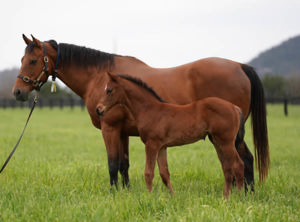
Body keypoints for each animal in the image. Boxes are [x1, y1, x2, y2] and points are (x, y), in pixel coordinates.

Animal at [97, 72, 245, 198]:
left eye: (109, 90)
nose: (98, 109)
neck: (149, 110)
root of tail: (234, 107)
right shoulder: (162, 147)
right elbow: (164, 173)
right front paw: (172, 197)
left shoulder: (152, 144)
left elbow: (148, 172)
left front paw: (149, 197)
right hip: (217, 142)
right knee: (227, 167)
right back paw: (225, 197)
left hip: (226, 142)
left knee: (238, 165)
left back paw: (238, 196)